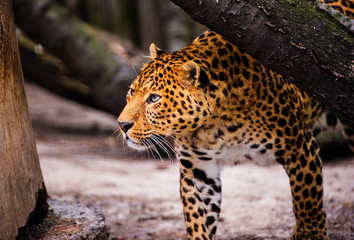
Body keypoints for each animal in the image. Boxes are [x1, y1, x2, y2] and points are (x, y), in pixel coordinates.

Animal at [118, 30, 352, 240]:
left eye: (154, 98)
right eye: (131, 91)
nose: (122, 124)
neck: (217, 125)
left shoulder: (299, 147)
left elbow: (307, 201)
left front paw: (309, 234)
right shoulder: (197, 169)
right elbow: (196, 218)